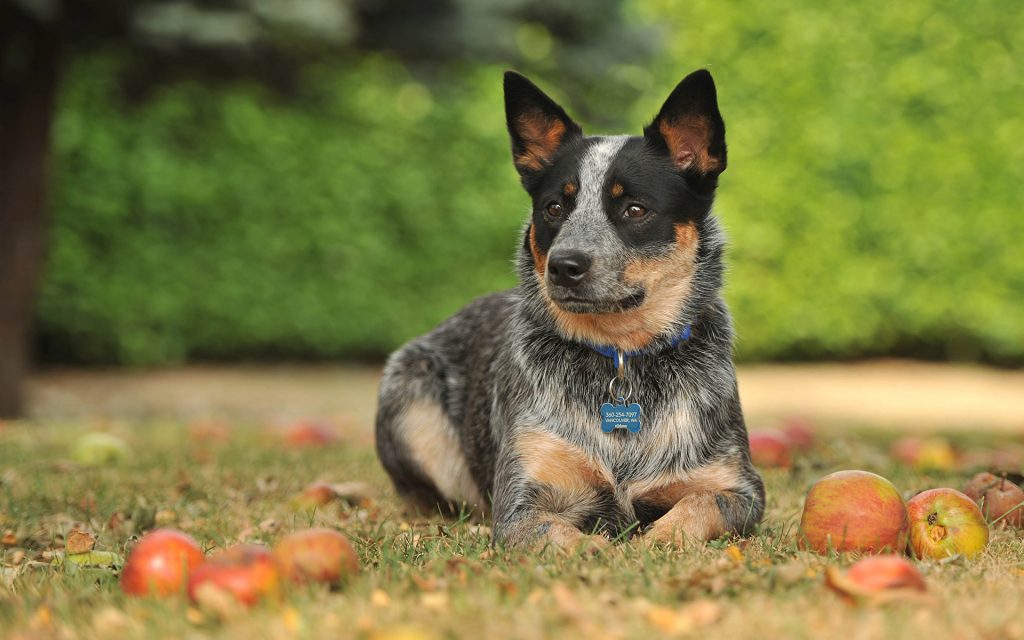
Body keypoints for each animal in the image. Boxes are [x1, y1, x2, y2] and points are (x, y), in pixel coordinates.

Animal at [374, 69, 761, 548]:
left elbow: (701, 504)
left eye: (635, 209)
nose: (563, 265)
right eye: (554, 207)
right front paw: (597, 550)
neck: (620, 359)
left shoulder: (739, 487)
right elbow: (555, 532)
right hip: (409, 401)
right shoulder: (521, 500)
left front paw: (659, 540)